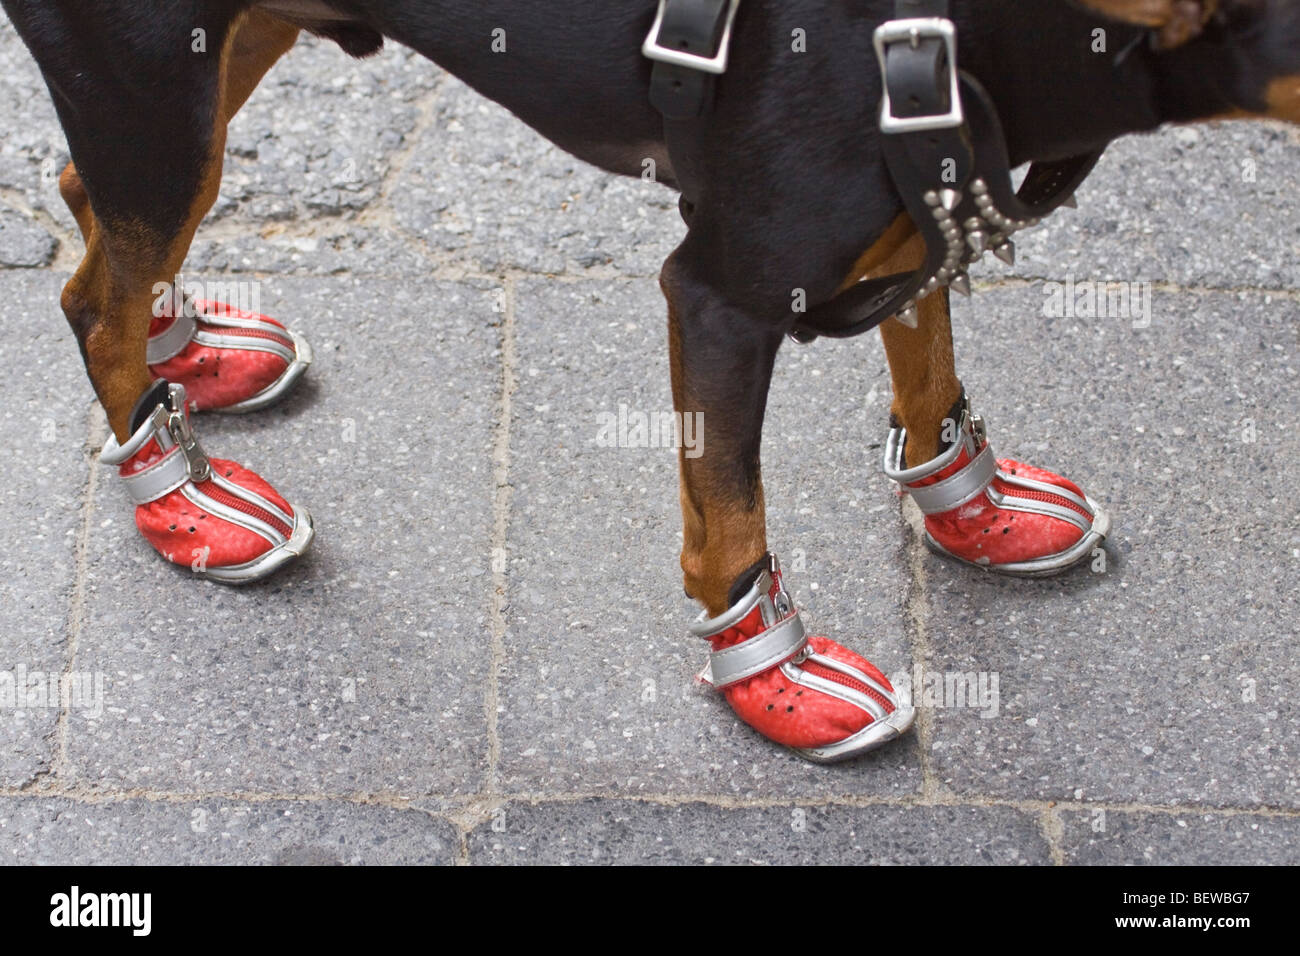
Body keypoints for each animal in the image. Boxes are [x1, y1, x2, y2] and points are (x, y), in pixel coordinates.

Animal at [2, 0, 1300, 764]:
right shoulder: (718, 292)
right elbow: (729, 504)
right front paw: (771, 670)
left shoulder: (924, 183)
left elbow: (926, 355)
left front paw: (969, 503)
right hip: (152, 89)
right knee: (93, 295)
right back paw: (177, 488)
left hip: (214, 58)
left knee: (88, 208)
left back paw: (189, 356)